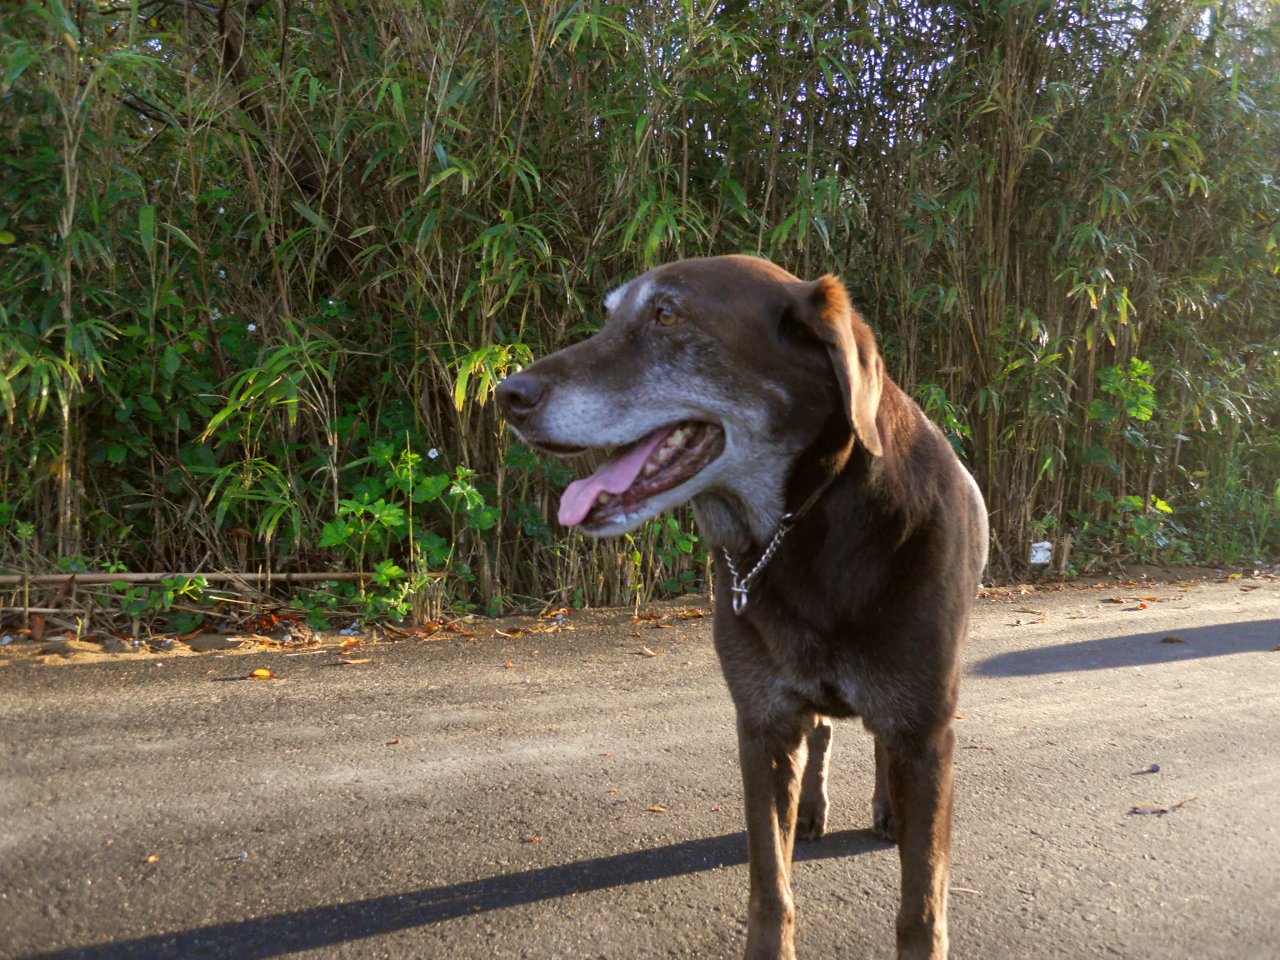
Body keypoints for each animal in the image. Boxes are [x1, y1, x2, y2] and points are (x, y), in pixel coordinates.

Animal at [496, 255, 988, 960]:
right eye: (610, 315)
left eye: (667, 314)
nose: (506, 395)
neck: (807, 528)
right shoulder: (761, 725)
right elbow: (769, 887)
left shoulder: (925, 732)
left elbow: (921, 907)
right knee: (823, 732)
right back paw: (809, 809)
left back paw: (886, 809)